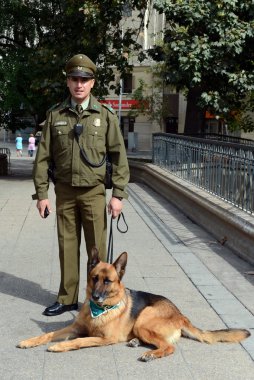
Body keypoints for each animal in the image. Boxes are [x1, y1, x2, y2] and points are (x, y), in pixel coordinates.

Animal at [17, 248, 250, 360]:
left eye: (108, 281)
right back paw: (137, 342)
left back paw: (150, 354)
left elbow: (80, 341)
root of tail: (181, 314)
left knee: (169, 347)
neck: (99, 312)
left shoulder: (105, 339)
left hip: (144, 319)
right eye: (94, 278)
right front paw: (30, 341)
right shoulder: (73, 328)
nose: (96, 297)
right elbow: (48, 334)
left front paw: (59, 346)